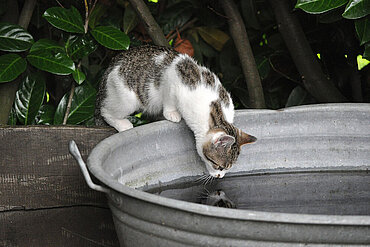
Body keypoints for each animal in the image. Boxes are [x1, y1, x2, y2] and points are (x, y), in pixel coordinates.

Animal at [95, 45, 258, 178]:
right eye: (218, 166)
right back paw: (122, 124)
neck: (215, 110)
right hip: (126, 98)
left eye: (227, 168)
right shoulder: (172, 80)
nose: (220, 176)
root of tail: (114, 61)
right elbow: (169, 98)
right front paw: (171, 113)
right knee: (106, 110)